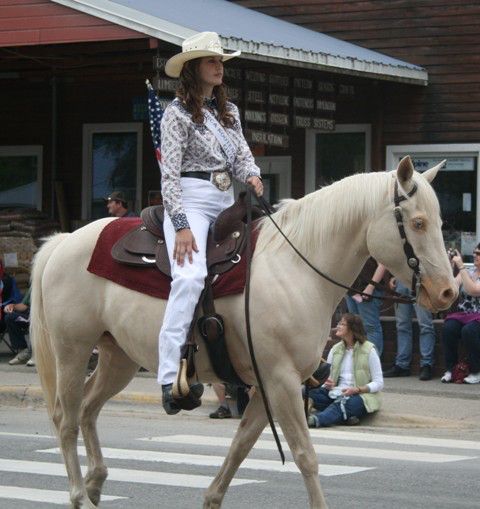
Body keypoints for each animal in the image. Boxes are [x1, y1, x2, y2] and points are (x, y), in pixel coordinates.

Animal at [31, 157, 458, 506]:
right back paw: (80, 495)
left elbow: (240, 446)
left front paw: (212, 498)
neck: (297, 267)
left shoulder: (267, 385)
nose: (448, 292)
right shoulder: (281, 381)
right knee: (66, 420)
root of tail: (64, 241)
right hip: (72, 352)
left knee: (88, 409)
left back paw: (96, 482)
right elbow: (305, 456)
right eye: (417, 223)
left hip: (117, 358)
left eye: (439, 223)